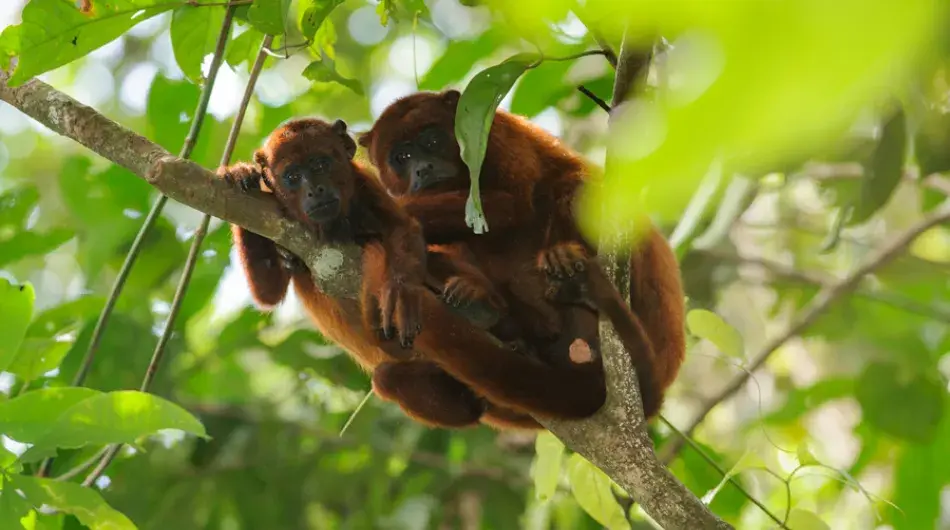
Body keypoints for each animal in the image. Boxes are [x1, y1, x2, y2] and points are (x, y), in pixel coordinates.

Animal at [359, 89, 686, 423]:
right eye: (401, 158)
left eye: (432, 140)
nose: (422, 169)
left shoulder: (497, 136)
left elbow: (512, 204)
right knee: (386, 376)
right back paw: (490, 310)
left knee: (577, 187)